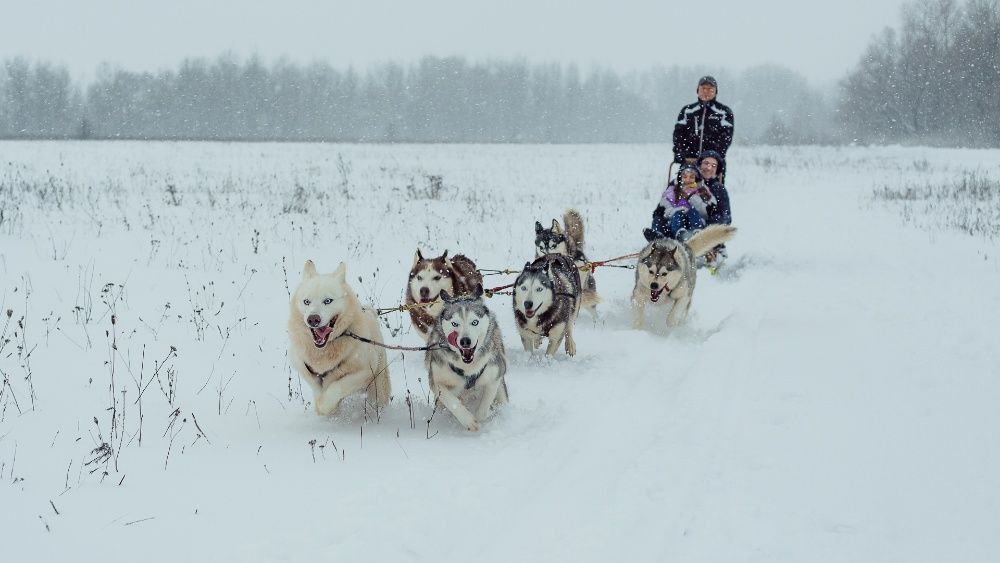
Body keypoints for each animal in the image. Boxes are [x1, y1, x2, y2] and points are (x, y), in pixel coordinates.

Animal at [286, 262, 390, 416]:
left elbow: (335, 388)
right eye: (306, 301)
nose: (313, 319)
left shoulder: (365, 371)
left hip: (378, 385)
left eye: (328, 301)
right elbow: (317, 389)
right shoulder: (303, 367)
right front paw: (324, 408)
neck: (323, 351)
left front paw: (326, 405)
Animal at [426, 286, 512, 432]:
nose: (465, 341)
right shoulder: (436, 381)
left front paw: (487, 412)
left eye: (474, 322)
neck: (467, 367)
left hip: (501, 388)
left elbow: (484, 409)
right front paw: (468, 420)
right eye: (455, 323)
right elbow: (451, 400)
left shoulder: (495, 375)